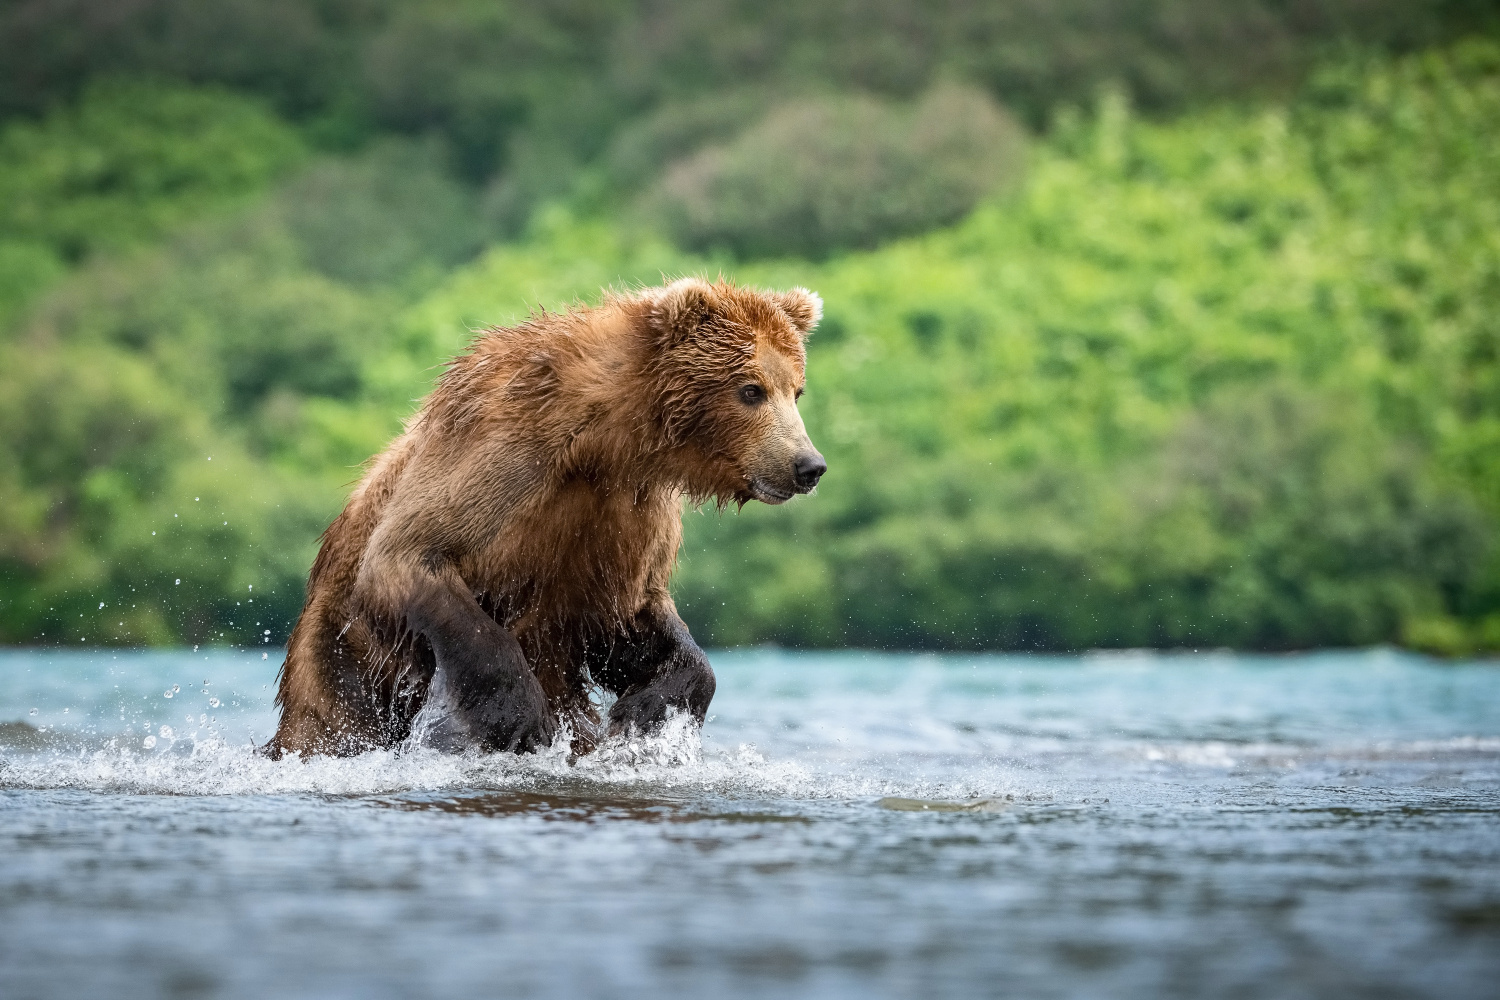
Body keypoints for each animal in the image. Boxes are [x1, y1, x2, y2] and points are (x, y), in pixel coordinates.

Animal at [267, 277, 834, 755]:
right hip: (348, 649)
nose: (808, 465)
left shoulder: (626, 518)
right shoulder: (505, 446)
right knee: (335, 719)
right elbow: (410, 552)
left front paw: (645, 711)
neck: (609, 441)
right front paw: (520, 716)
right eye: (751, 389)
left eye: (797, 390)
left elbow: (635, 619)